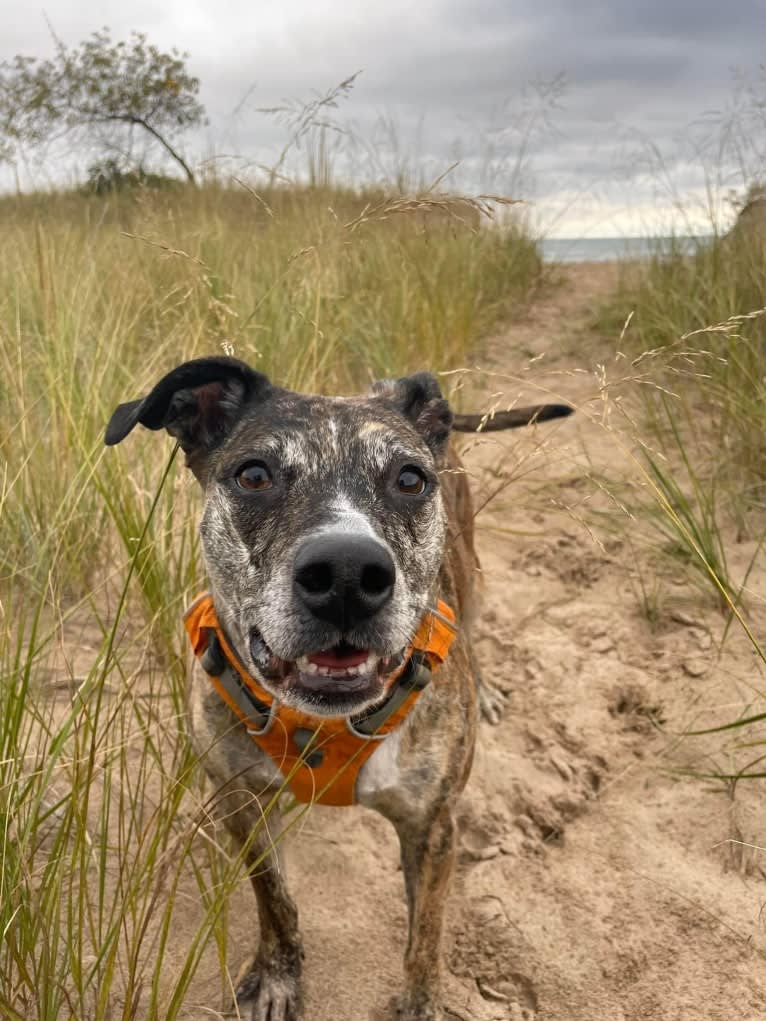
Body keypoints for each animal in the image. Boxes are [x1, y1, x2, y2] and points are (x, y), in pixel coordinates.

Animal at [105, 359, 571, 1021]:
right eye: (254, 474)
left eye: (409, 479)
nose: (348, 574)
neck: (322, 723)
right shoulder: (240, 802)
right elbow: (275, 899)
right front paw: (278, 977)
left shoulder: (434, 828)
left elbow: (425, 938)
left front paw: (420, 1003)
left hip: (475, 571)